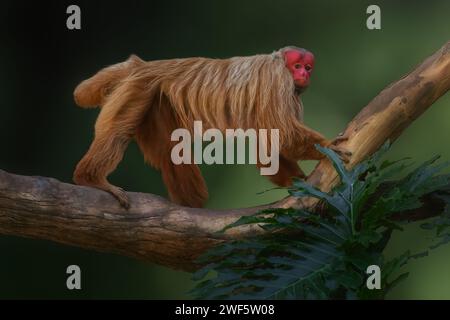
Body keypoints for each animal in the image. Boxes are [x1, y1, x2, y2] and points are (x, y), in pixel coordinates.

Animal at [73, 46, 348, 209]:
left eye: (308, 67)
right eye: (297, 66)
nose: (304, 75)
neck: (281, 64)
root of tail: (143, 65)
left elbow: (267, 143)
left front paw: (297, 179)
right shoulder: (277, 80)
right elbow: (283, 133)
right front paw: (326, 148)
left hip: (154, 99)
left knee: (170, 149)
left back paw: (189, 203)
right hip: (136, 90)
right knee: (118, 134)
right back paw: (90, 178)